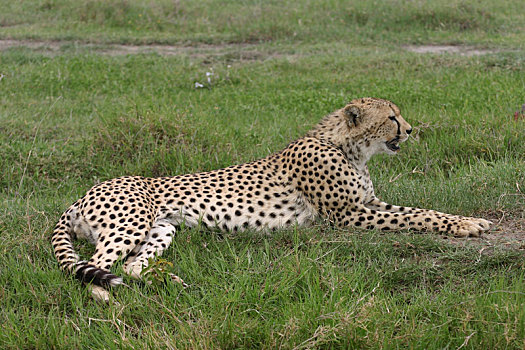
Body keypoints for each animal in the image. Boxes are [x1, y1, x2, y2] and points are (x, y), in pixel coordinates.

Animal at [51, 98, 490, 300]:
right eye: (392, 118)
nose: (411, 130)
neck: (346, 147)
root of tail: (83, 193)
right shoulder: (347, 215)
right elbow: (415, 216)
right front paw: (465, 225)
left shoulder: (369, 205)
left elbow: (421, 210)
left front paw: (467, 222)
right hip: (132, 223)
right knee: (95, 265)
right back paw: (104, 295)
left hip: (162, 229)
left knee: (131, 266)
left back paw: (170, 281)